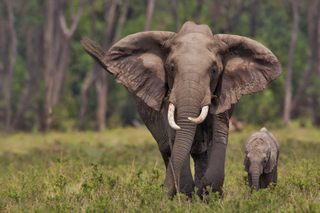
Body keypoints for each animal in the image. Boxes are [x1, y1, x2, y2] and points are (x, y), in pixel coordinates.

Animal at [81, 21, 282, 198]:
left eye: (214, 70)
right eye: (171, 67)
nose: (164, 192)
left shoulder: (223, 93)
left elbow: (218, 137)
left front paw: (207, 196)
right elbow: (176, 139)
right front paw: (186, 197)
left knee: (201, 155)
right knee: (167, 150)